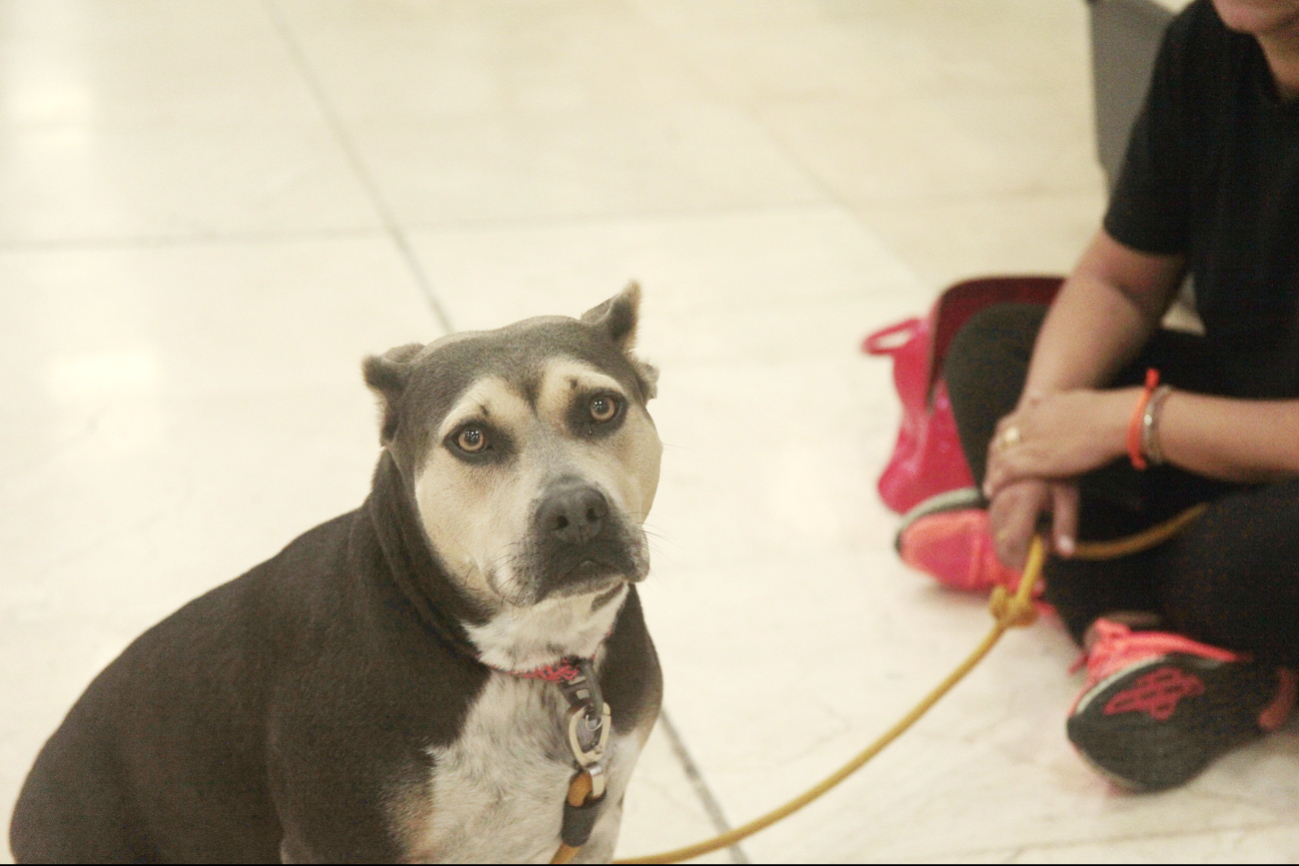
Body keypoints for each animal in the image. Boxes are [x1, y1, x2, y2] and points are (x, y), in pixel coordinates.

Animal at [15, 285, 670, 866]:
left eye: (601, 407)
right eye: (472, 439)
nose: (575, 511)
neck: (522, 660)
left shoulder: (596, 823)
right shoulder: (340, 843)